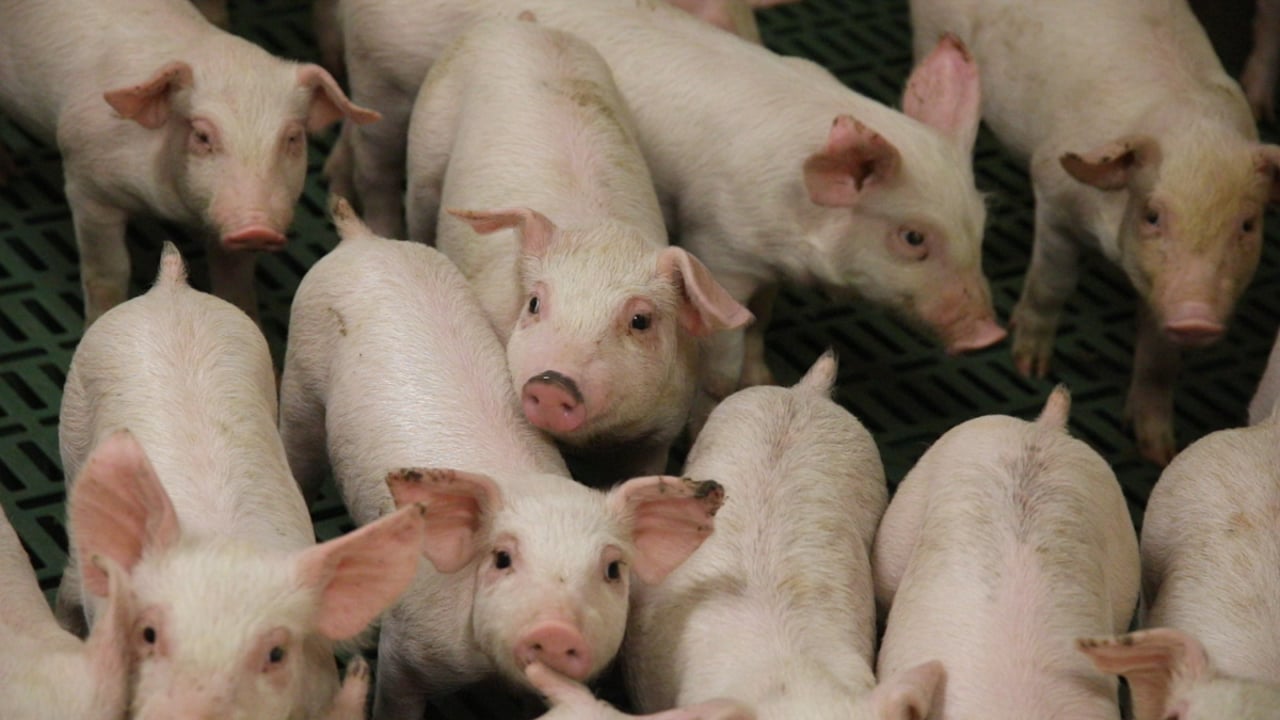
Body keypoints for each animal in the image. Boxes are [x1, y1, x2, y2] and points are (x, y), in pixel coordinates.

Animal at [0, 0, 377, 325]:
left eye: (293, 138)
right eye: (202, 136)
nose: (257, 227)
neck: (171, 209)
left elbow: (235, 282)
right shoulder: (87, 185)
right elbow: (107, 272)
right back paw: (10, 174)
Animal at [278, 199, 725, 720]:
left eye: (613, 570)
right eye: (502, 558)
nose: (555, 630)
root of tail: (362, 241)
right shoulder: (404, 648)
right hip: (301, 379)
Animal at [332, 0, 1004, 425]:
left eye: (981, 223)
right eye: (913, 237)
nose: (987, 333)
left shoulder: (763, 266)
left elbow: (762, 320)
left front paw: (763, 372)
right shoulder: (720, 242)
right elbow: (723, 354)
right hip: (382, 82)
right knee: (375, 166)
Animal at [406, 18, 751, 484]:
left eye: (640, 321)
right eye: (534, 303)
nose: (553, 383)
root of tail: (529, 26)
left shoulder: (661, 428)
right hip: (427, 136)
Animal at [911, 0, 1280, 465]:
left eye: (1247, 225)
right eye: (1152, 215)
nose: (1196, 317)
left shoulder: (1160, 289)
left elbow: (1160, 359)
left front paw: (1158, 451)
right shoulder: (1054, 195)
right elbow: (1053, 284)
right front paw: (1030, 367)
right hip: (932, 36)